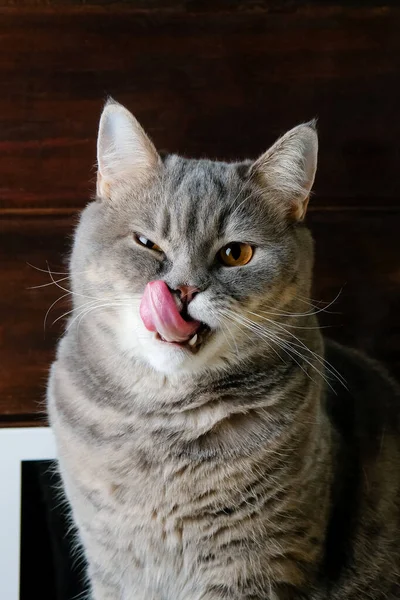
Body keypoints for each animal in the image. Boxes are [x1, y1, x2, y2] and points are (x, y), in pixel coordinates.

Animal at [47, 101, 400, 596]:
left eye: (236, 254)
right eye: (147, 243)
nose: (182, 290)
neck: (162, 425)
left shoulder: (256, 567)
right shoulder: (111, 567)